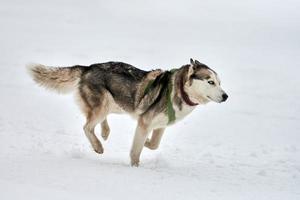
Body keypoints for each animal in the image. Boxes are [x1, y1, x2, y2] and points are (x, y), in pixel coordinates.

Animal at [28, 58, 227, 166]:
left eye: (219, 82)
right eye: (210, 82)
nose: (226, 96)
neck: (179, 90)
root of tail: (88, 67)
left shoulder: (160, 126)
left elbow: (154, 144)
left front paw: (146, 142)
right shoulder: (145, 122)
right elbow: (136, 151)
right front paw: (135, 167)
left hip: (115, 103)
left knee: (96, 122)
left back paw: (105, 132)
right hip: (103, 105)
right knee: (87, 127)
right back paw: (98, 146)